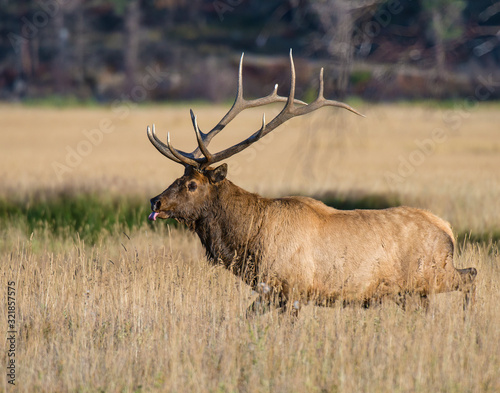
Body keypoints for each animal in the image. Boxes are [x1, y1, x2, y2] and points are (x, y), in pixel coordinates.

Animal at [146, 50, 476, 314]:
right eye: (178, 177)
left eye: (193, 185)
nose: (155, 201)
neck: (248, 241)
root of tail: (448, 229)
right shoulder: (268, 291)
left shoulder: (292, 287)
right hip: (413, 291)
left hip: (433, 272)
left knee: (471, 275)